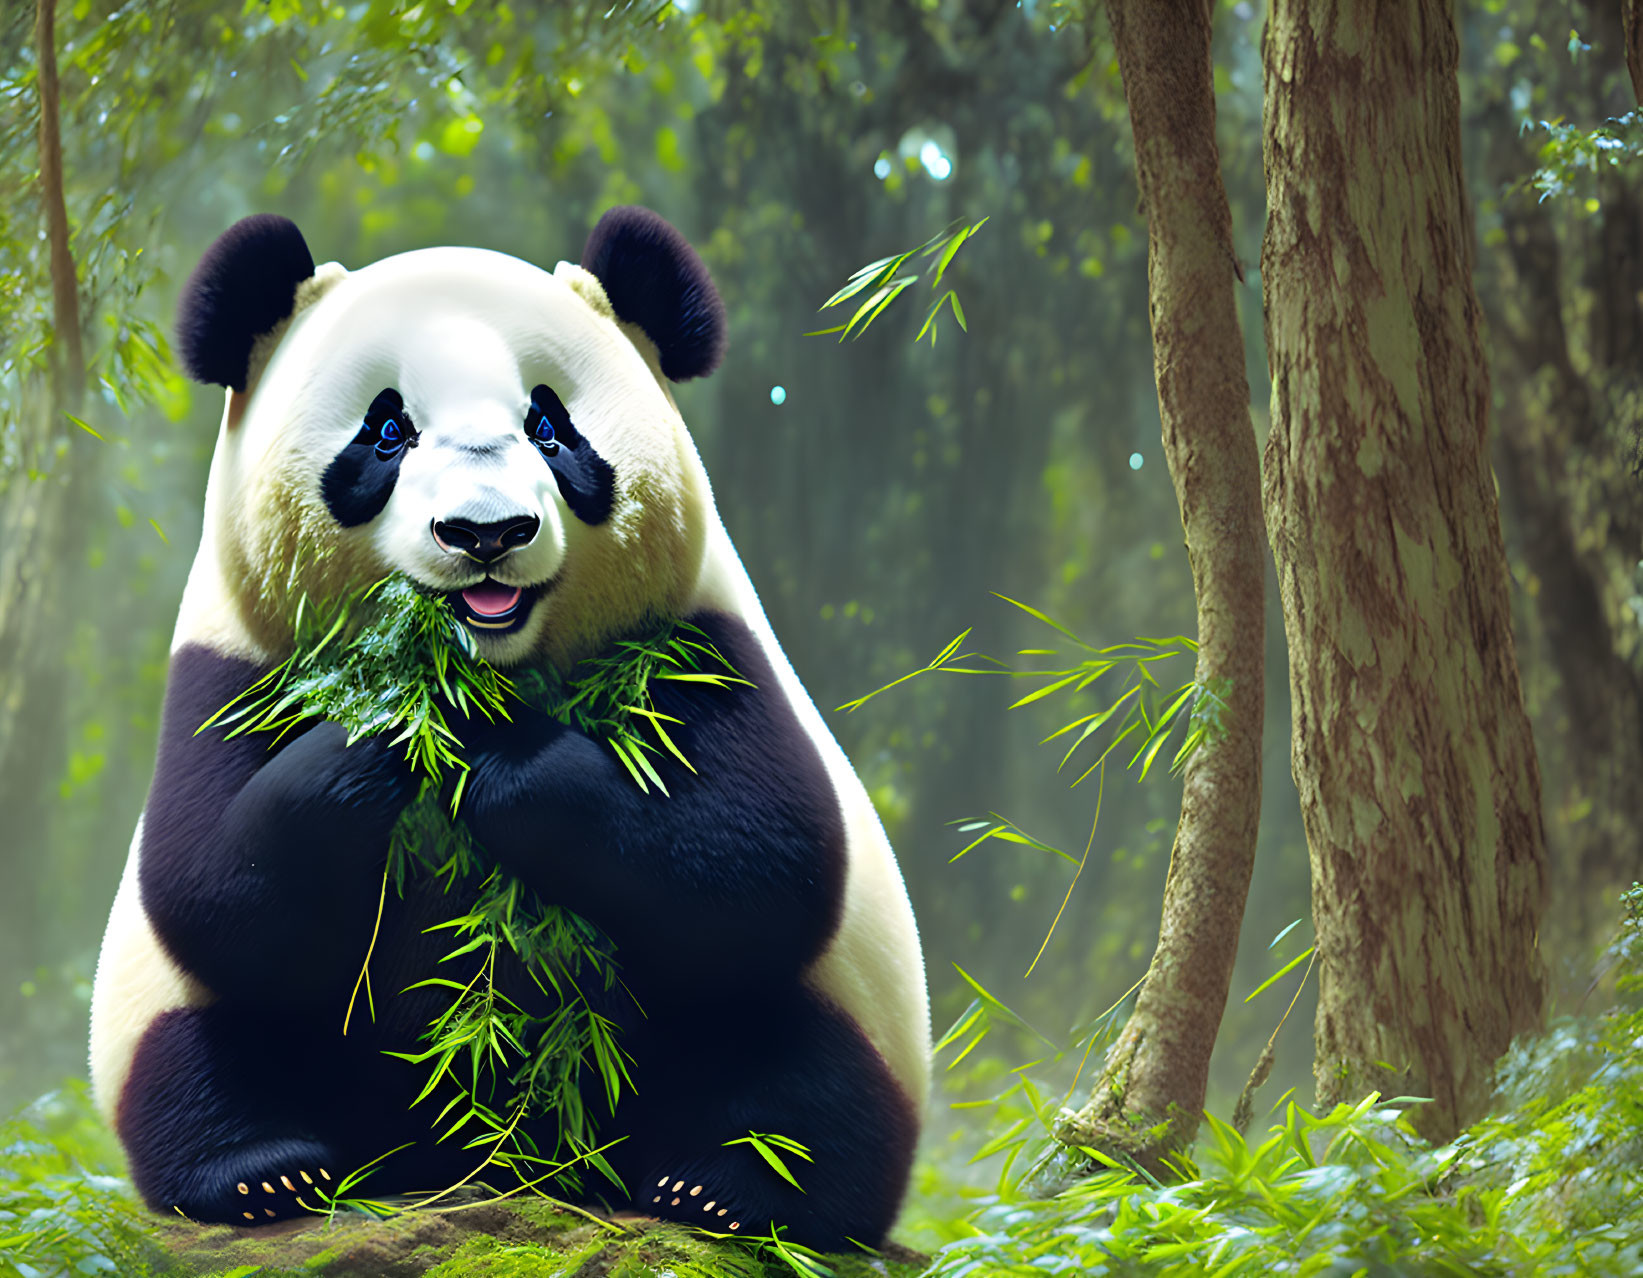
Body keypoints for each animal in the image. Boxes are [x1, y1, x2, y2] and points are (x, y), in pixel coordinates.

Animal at [89, 206, 933, 1241]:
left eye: (548, 426)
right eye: (387, 431)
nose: (486, 533)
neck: (488, 666)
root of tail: (471, 1161)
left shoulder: (699, 642)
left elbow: (762, 859)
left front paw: (496, 760)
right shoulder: (235, 664)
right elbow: (207, 885)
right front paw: (382, 744)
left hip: (845, 1004)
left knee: (799, 1061)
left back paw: (727, 1188)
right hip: (173, 1021)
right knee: (203, 1051)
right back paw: (262, 1173)